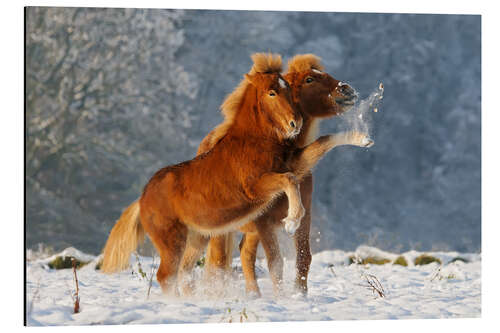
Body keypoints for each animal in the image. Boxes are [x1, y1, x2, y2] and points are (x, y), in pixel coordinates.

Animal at [100, 52, 304, 294]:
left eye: (289, 89)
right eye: (271, 92)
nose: (296, 123)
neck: (251, 143)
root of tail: (141, 200)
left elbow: (293, 177)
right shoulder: (255, 188)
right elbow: (289, 179)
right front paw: (292, 221)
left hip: (197, 238)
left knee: (183, 273)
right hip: (172, 240)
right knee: (166, 275)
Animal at [203, 54, 372, 296]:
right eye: (310, 79)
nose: (347, 89)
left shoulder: (304, 216)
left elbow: (303, 258)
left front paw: (300, 295)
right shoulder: (263, 221)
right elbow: (275, 262)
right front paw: (281, 298)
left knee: (245, 254)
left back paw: (254, 296)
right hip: (223, 231)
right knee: (217, 262)